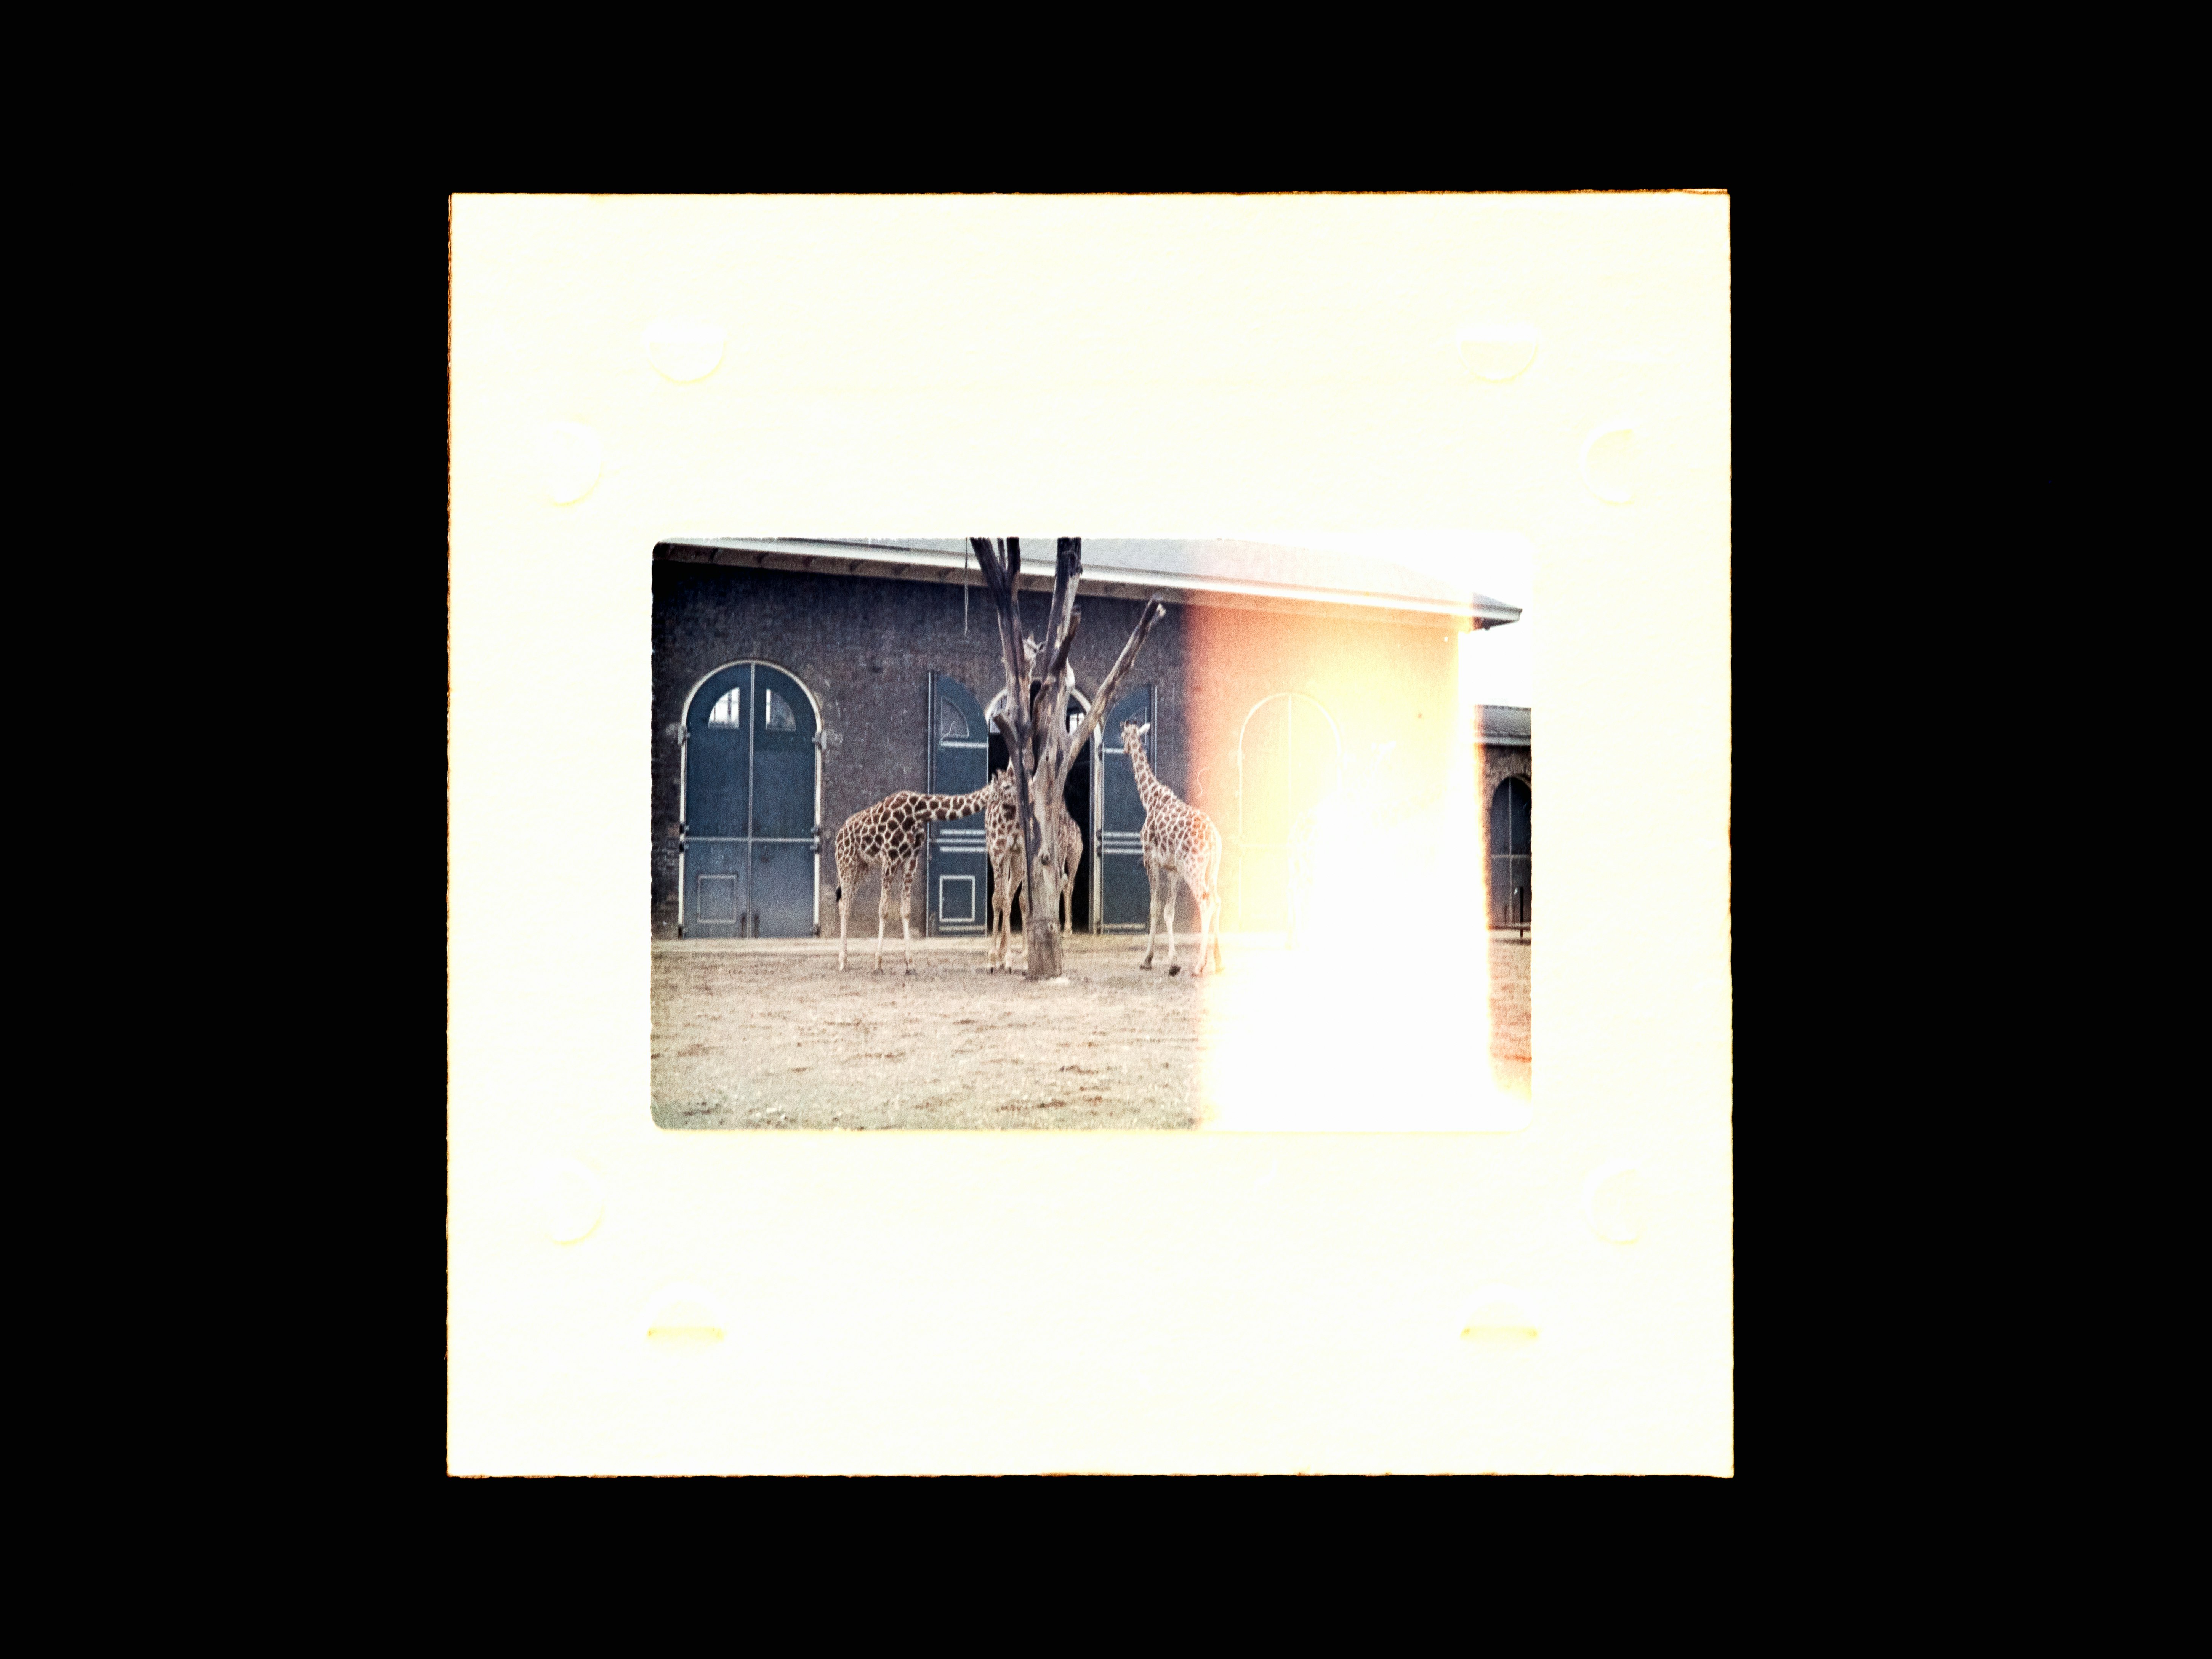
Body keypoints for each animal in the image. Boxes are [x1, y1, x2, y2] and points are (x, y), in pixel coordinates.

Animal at [831, 778, 1013, 973]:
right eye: (1007, 787)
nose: (1015, 803)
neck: (918, 811)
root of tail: (839, 836)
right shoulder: (889, 858)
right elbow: (884, 910)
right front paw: (878, 963)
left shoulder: (911, 860)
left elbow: (906, 911)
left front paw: (910, 964)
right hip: (846, 863)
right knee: (845, 905)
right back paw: (843, 961)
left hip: (862, 867)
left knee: (845, 903)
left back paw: (846, 959)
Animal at [1123, 721, 1230, 982]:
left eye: (1123, 735)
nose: (1124, 749)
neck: (1150, 799)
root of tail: (1214, 840)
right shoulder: (1173, 869)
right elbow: (1169, 911)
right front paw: (1173, 963)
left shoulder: (1150, 860)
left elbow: (1155, 907)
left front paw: (1147, 960)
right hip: (1211, 870)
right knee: (1217, 900)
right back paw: (1219, 962)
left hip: (1193, 868)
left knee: (1206, 903)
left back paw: (1199, 966)